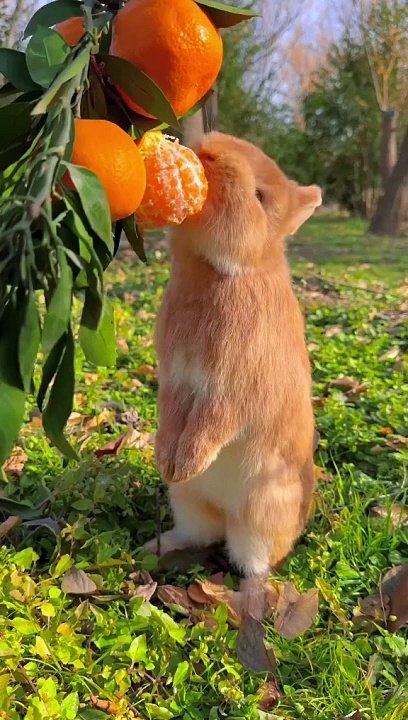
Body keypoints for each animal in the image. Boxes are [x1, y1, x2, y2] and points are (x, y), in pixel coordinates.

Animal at [145, 131, 322, 615]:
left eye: (260, 197)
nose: (209, 151)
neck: (218, 272)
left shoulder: (231, 389)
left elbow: (212, 422)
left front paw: (184, 463)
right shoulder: (177, 379)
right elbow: (173, 415)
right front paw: (168, 461)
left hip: (260, 516)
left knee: (253, 562)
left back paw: (246, 600)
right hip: (189, 505)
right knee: (199, 534)